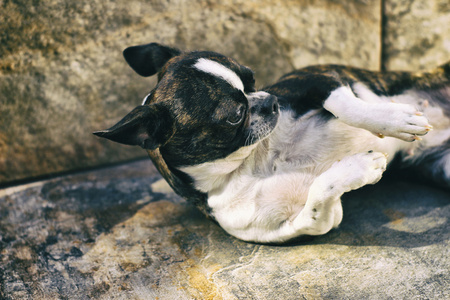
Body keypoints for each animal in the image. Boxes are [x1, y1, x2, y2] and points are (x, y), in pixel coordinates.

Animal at [93, 42, 448, 244]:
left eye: (252, 79)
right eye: (235, 115)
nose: (271, 101)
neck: (254, 159)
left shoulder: (316, 77)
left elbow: (345, 105)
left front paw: (398, 120)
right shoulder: (294, 227)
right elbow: (318, 200)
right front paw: (360, 166)